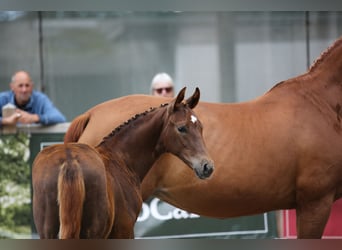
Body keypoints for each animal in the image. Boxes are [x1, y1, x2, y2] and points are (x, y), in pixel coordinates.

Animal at [32, 87, 214, 238]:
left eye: (201, 127)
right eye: (181, 128)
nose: (207, 166)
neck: (120, 158)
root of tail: (70, 160)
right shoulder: (124, 230)